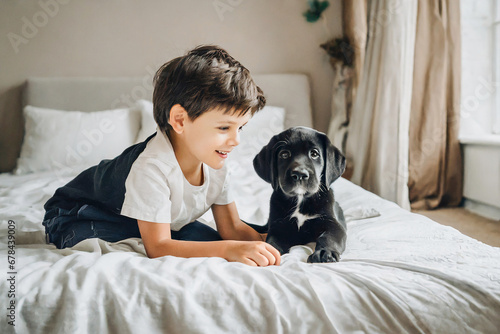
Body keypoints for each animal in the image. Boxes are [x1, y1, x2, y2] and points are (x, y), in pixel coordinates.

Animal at [254, 126, 348, 262]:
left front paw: (325, 252)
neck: (300, 199)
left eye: (314, 154)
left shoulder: (334, 225)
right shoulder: (278, 226)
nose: (299, 174)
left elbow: (328, 238)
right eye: (284, 154)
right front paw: (268, 250)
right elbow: (272, 241)